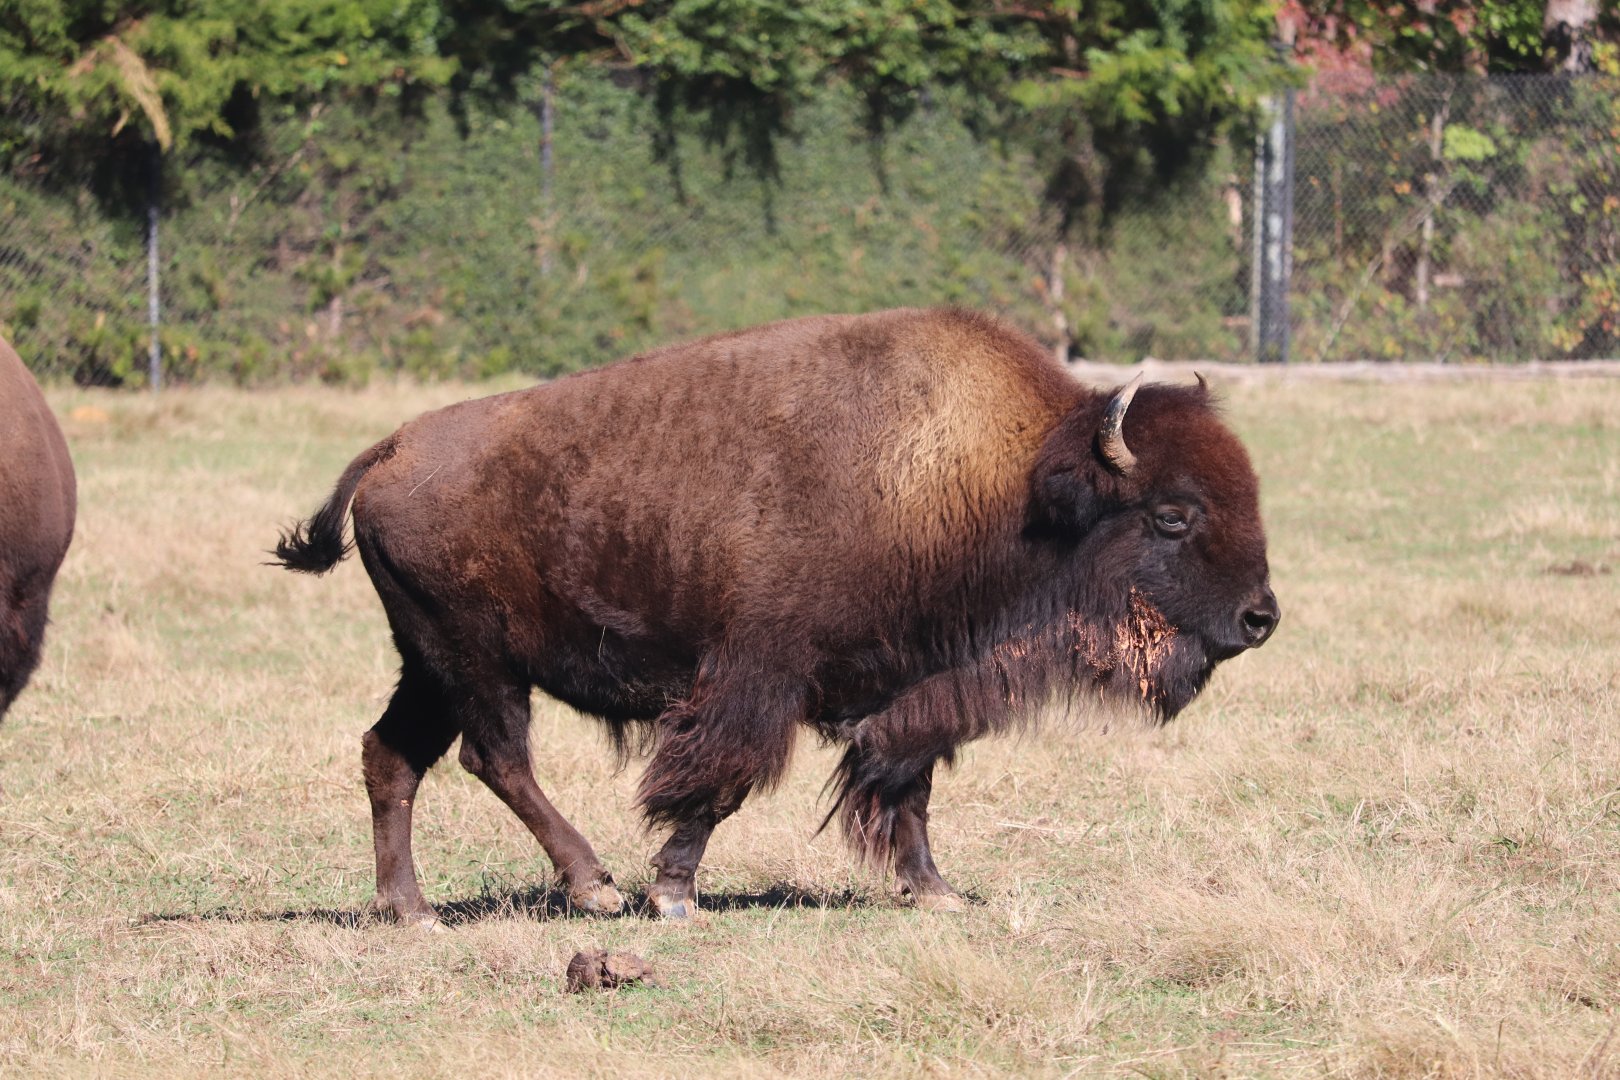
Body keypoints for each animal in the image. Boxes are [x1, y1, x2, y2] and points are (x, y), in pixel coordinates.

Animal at [275, 307, 1277, 923]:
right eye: (1174, 514)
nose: (1259, 619)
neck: (1009, 479)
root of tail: (391, 448)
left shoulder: (921, 687)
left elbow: (905, 783)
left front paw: (936, 891)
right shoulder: (757, 681)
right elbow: (719, 784)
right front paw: (672, 894)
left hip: (428, 665)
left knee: (393, 757)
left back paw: (412, 911)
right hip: (476, 662)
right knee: (496, 758)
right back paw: (594, 887)